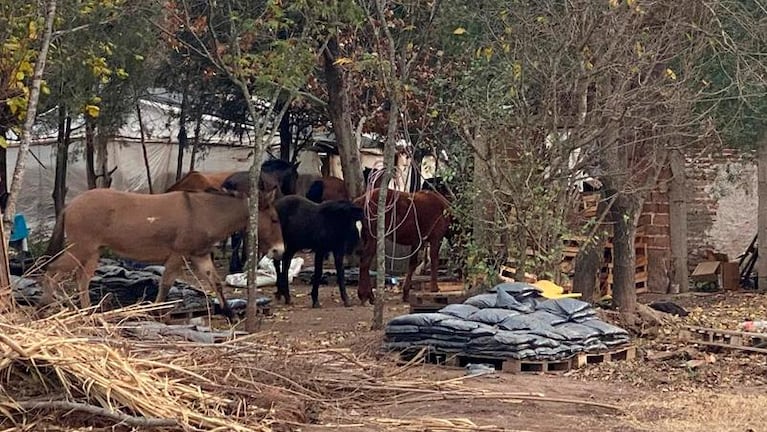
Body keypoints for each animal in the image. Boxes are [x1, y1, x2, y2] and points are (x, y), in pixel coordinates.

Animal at [41, 188, 284, 318]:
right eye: (274, 219)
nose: (279, 251)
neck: (204, 213)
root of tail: (70, 205)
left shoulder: (200, 255)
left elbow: (215, 282)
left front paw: (229, 314)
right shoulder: (179, 254)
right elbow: (166, 284)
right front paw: (155, 312)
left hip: (92, 252)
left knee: (80, 279)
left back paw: (85, 312)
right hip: (80, 248)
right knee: (51, 271)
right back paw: (50, 307)